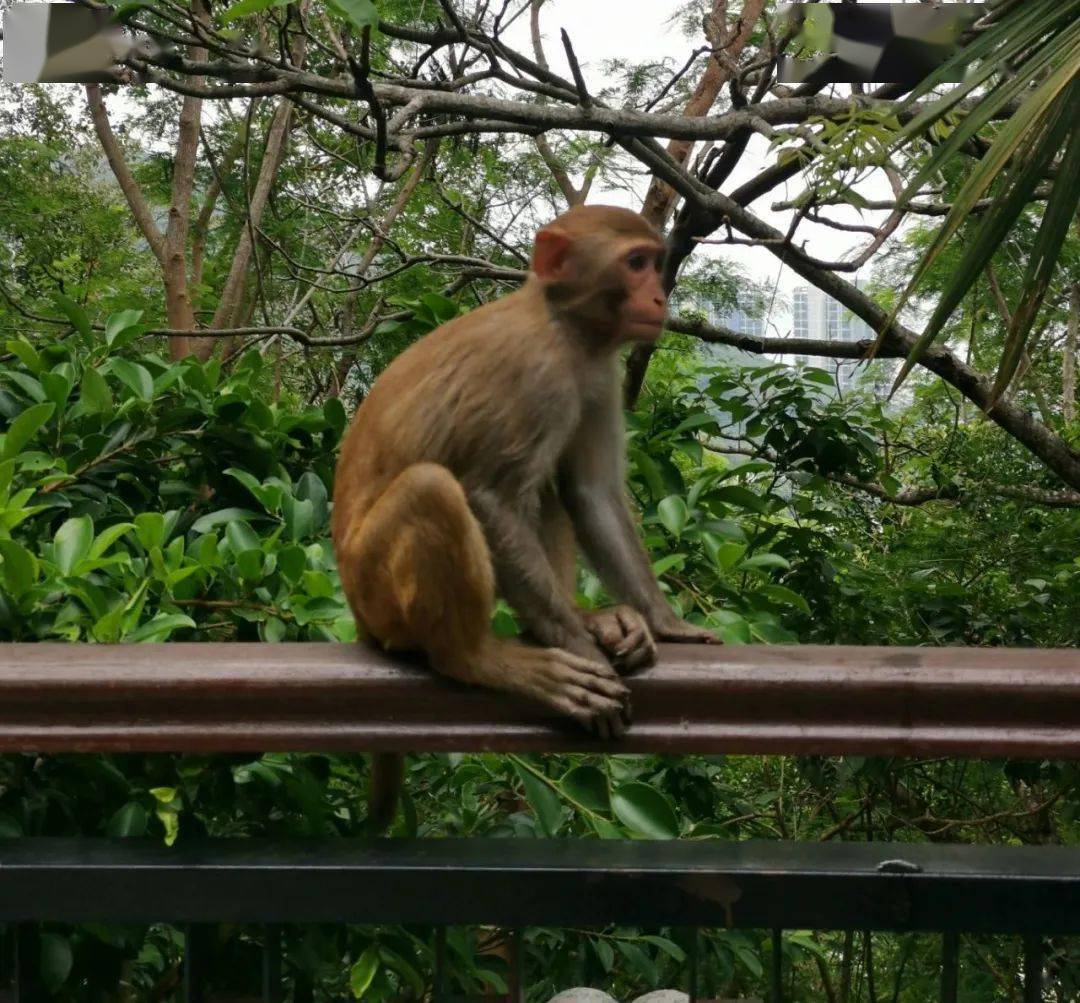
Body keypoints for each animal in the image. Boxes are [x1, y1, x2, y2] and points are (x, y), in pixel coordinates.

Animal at [328, 201, 717, 829]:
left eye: (655, 263)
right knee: (437, 490)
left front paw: (662, 622)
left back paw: (585, 617)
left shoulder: (598, 373)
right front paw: (581, 652)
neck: (563, 326)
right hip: (379, 592)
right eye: (636, 264)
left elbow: (588, 493)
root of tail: (358, 615)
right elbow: (492, 498)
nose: (660, 297)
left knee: (547, 493)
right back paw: (481, 658)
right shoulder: (537, 374)